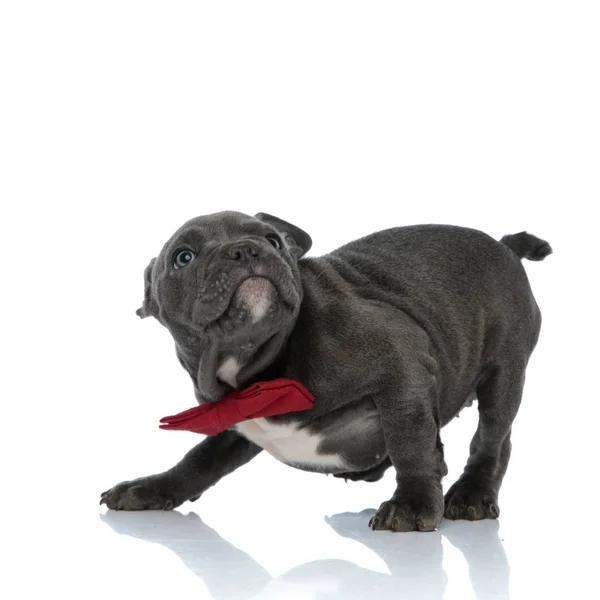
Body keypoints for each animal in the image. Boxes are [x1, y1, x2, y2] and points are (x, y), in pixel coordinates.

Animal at [99, 213, 552, 532]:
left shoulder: (401, 363)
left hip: (504, 371)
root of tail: (504, 246)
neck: (257, 372)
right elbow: (199, 460)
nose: (246, 249)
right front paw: (151, 487)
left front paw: (412, 503)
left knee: (492, 438)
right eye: (183, 257)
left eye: (272, 239)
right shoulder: (234, 422)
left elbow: (409, 442)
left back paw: (471, 494)